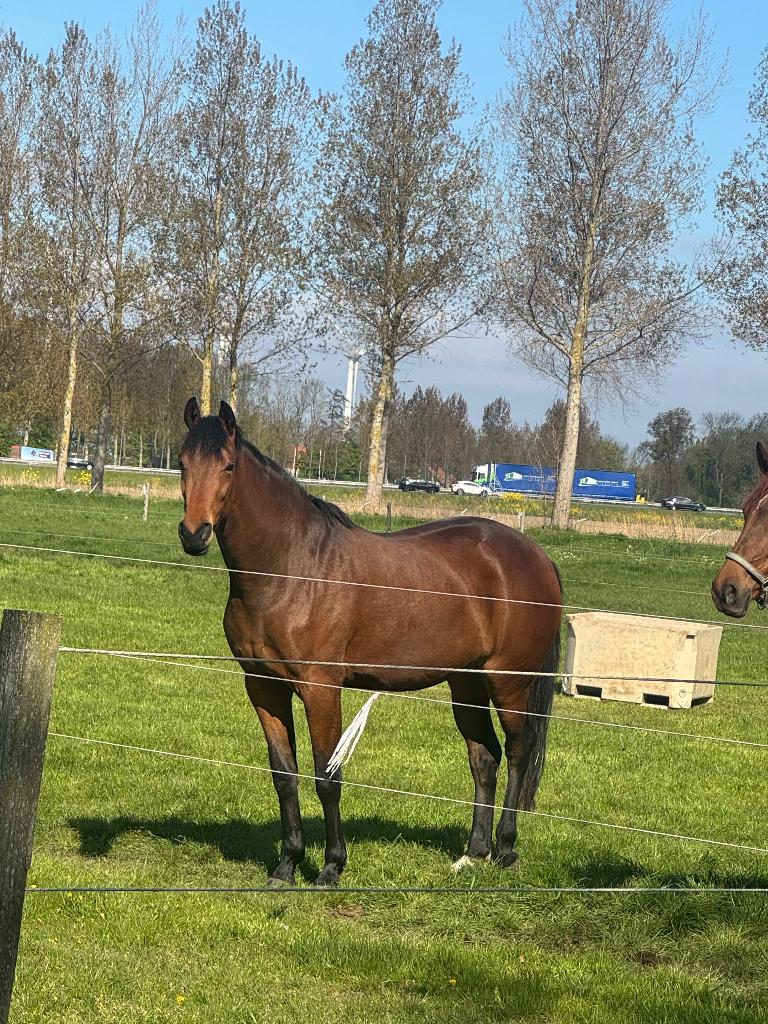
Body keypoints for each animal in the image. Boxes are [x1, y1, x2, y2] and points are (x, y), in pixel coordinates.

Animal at [178, 397, 563, 886]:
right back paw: (473, 853)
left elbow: (327, 776)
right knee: (484, 757)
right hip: (466, 682)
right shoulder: (263, 686)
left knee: (517, 752)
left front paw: (330, 867)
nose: (194, 534)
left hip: (509, 680)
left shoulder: (320, 689)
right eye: (182, 463)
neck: (292, 567)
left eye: (228, 465)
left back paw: (506, 849)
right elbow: (284, 775)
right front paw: (286, 864)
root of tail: (537, 556)